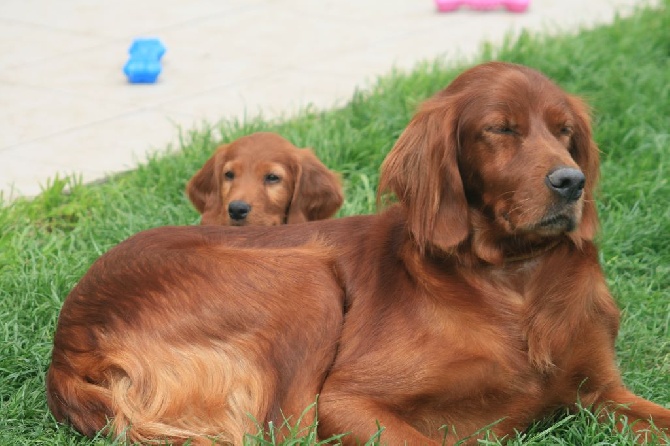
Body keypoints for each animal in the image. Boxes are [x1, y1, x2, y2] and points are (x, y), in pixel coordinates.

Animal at [48, 61, 670, 442]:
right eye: (500, 129)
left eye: (567, 133)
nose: (571, 182)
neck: (515, 281)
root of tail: (67, 342)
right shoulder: (343, 401)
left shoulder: (601, 391)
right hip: (308, 283)